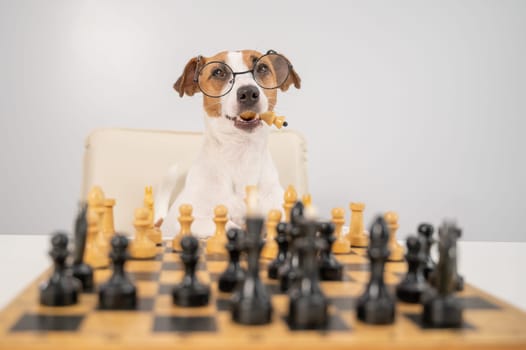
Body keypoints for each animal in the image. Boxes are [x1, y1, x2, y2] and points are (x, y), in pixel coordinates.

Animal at [157, 49, 302, 238]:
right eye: (218, 72)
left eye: (262, 67)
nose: (248, 93)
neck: (241, 155)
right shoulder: (184, 221)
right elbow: (223, 225)